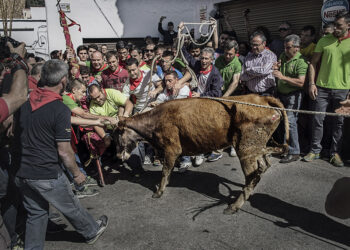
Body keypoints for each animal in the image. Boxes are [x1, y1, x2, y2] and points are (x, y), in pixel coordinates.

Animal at [115, 94, 290, 214]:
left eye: (117, 135)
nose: (117, 157)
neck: (154, 121)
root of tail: (263, 98)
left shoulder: (172, 149)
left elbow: (165, 172)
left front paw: (158, 192)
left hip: (246, 150)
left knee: (254, 176)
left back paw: (233, 206)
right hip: (258, 145)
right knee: (267, 161)